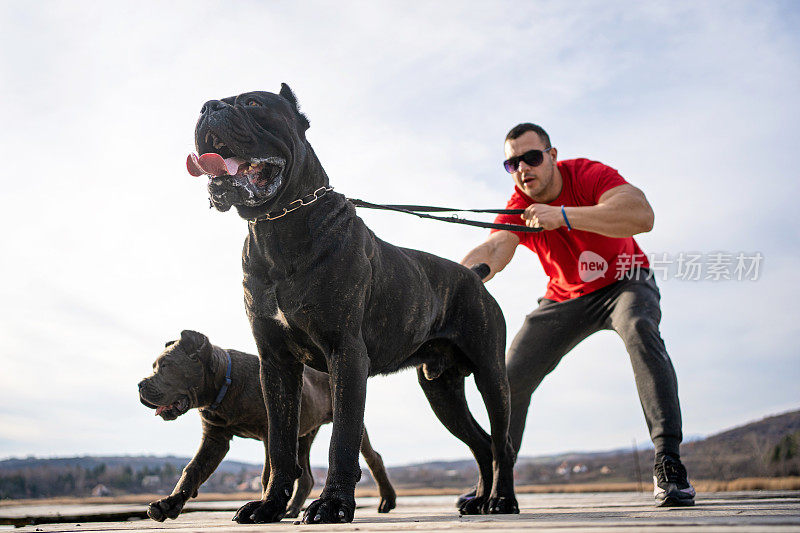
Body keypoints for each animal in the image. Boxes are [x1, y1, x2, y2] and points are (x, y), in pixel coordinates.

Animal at [141, 328, 400, 520]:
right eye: (155, 366)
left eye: (166, 367)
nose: (140, 385)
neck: (225, 384)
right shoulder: (215, 439)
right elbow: (192, 470)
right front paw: (168, 504)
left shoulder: (268, 433)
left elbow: (267, 472)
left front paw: (264, 505)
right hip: (302, 436)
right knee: (306, 476)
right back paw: (291, 510)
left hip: (347, 420)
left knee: (374, 457)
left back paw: (387, 500)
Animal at [191, 85, 520, 520]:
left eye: (253, 103)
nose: (207, 106)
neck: (277, 224)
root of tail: (474, 276)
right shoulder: (276, 363)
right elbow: (279, 443)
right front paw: (269, 505)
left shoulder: (345, 352)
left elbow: (343, 438)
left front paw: (332, 505)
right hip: (442, 389)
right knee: (481, 442)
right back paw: (480, 500)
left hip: (490, 374)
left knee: (502, 441)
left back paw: (503, 499)